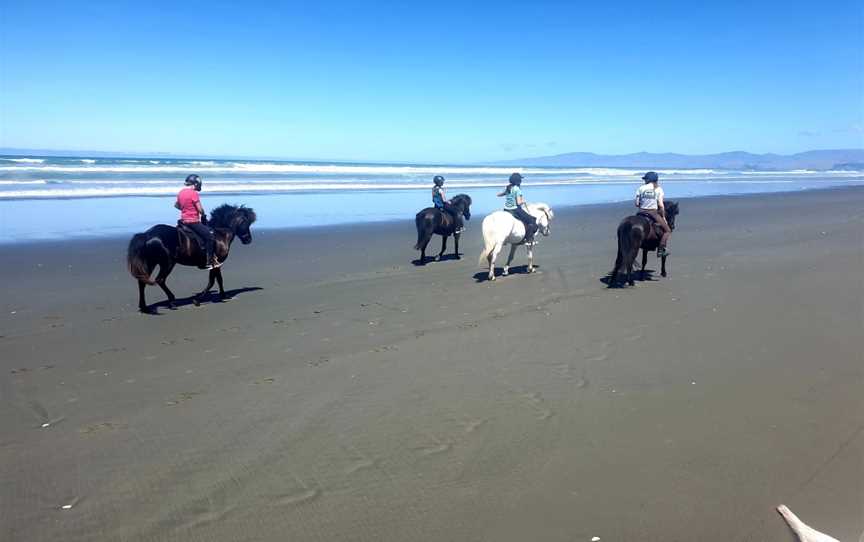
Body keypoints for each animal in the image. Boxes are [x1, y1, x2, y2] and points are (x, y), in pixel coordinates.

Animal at [126, 204, 256, 314]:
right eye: (246, 222)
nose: (248, 240)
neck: (219, 234)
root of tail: (147, 234)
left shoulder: (216, 264)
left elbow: (218, 280)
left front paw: (223, 295)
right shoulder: (216, 263)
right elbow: (213, 281)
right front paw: (198, 300)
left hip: (151, 263)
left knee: (142, 281)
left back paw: (144, 307)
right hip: (167, 263)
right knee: (160, 280)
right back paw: (172, 302)